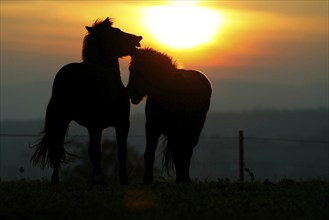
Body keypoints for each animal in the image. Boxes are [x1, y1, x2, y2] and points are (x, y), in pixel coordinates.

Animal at [31, 18, 142, 185]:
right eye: (117, 32)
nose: (138, 38)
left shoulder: (95, 126)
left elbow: (96, 151)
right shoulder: (120, 123)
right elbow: (120, 151)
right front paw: (121, 179)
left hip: (62, 119)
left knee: (57, 147)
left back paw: (55, 180)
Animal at [127, 48, 211, 184]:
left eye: (138, 69)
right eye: (131, 68)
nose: (129, 93)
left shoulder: (176, 130)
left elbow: (179, 153)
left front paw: (182, 180)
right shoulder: (152, 127)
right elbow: (149, 153)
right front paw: (147, 180)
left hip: (193, 131)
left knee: (186, 151)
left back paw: (185, 179)